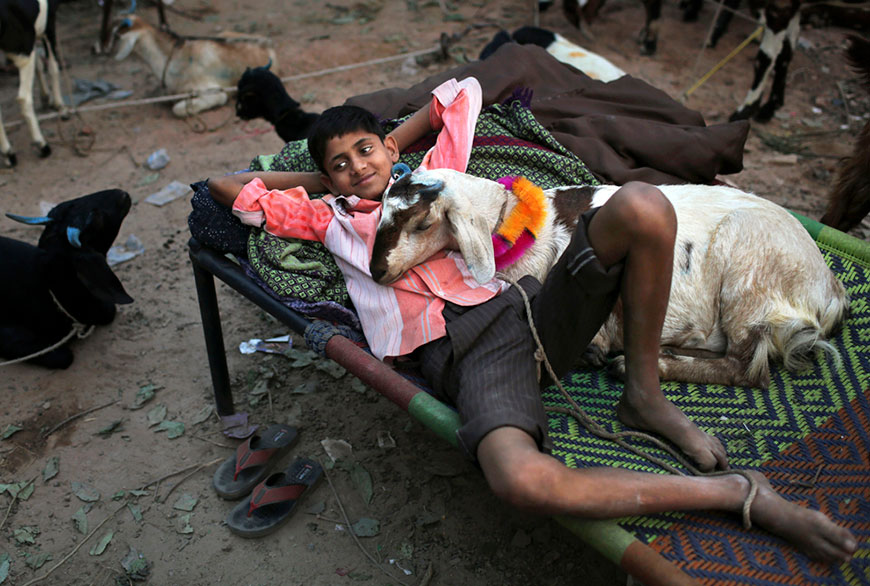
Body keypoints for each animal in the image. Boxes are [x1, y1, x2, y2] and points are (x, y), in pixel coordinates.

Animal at [372, 169, 852, 388]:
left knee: (748, 368)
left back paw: (644, 364)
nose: (377, 271)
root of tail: (830, 290)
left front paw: (598, 352)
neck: (504, 219)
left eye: (422, 224)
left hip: (751, 278)